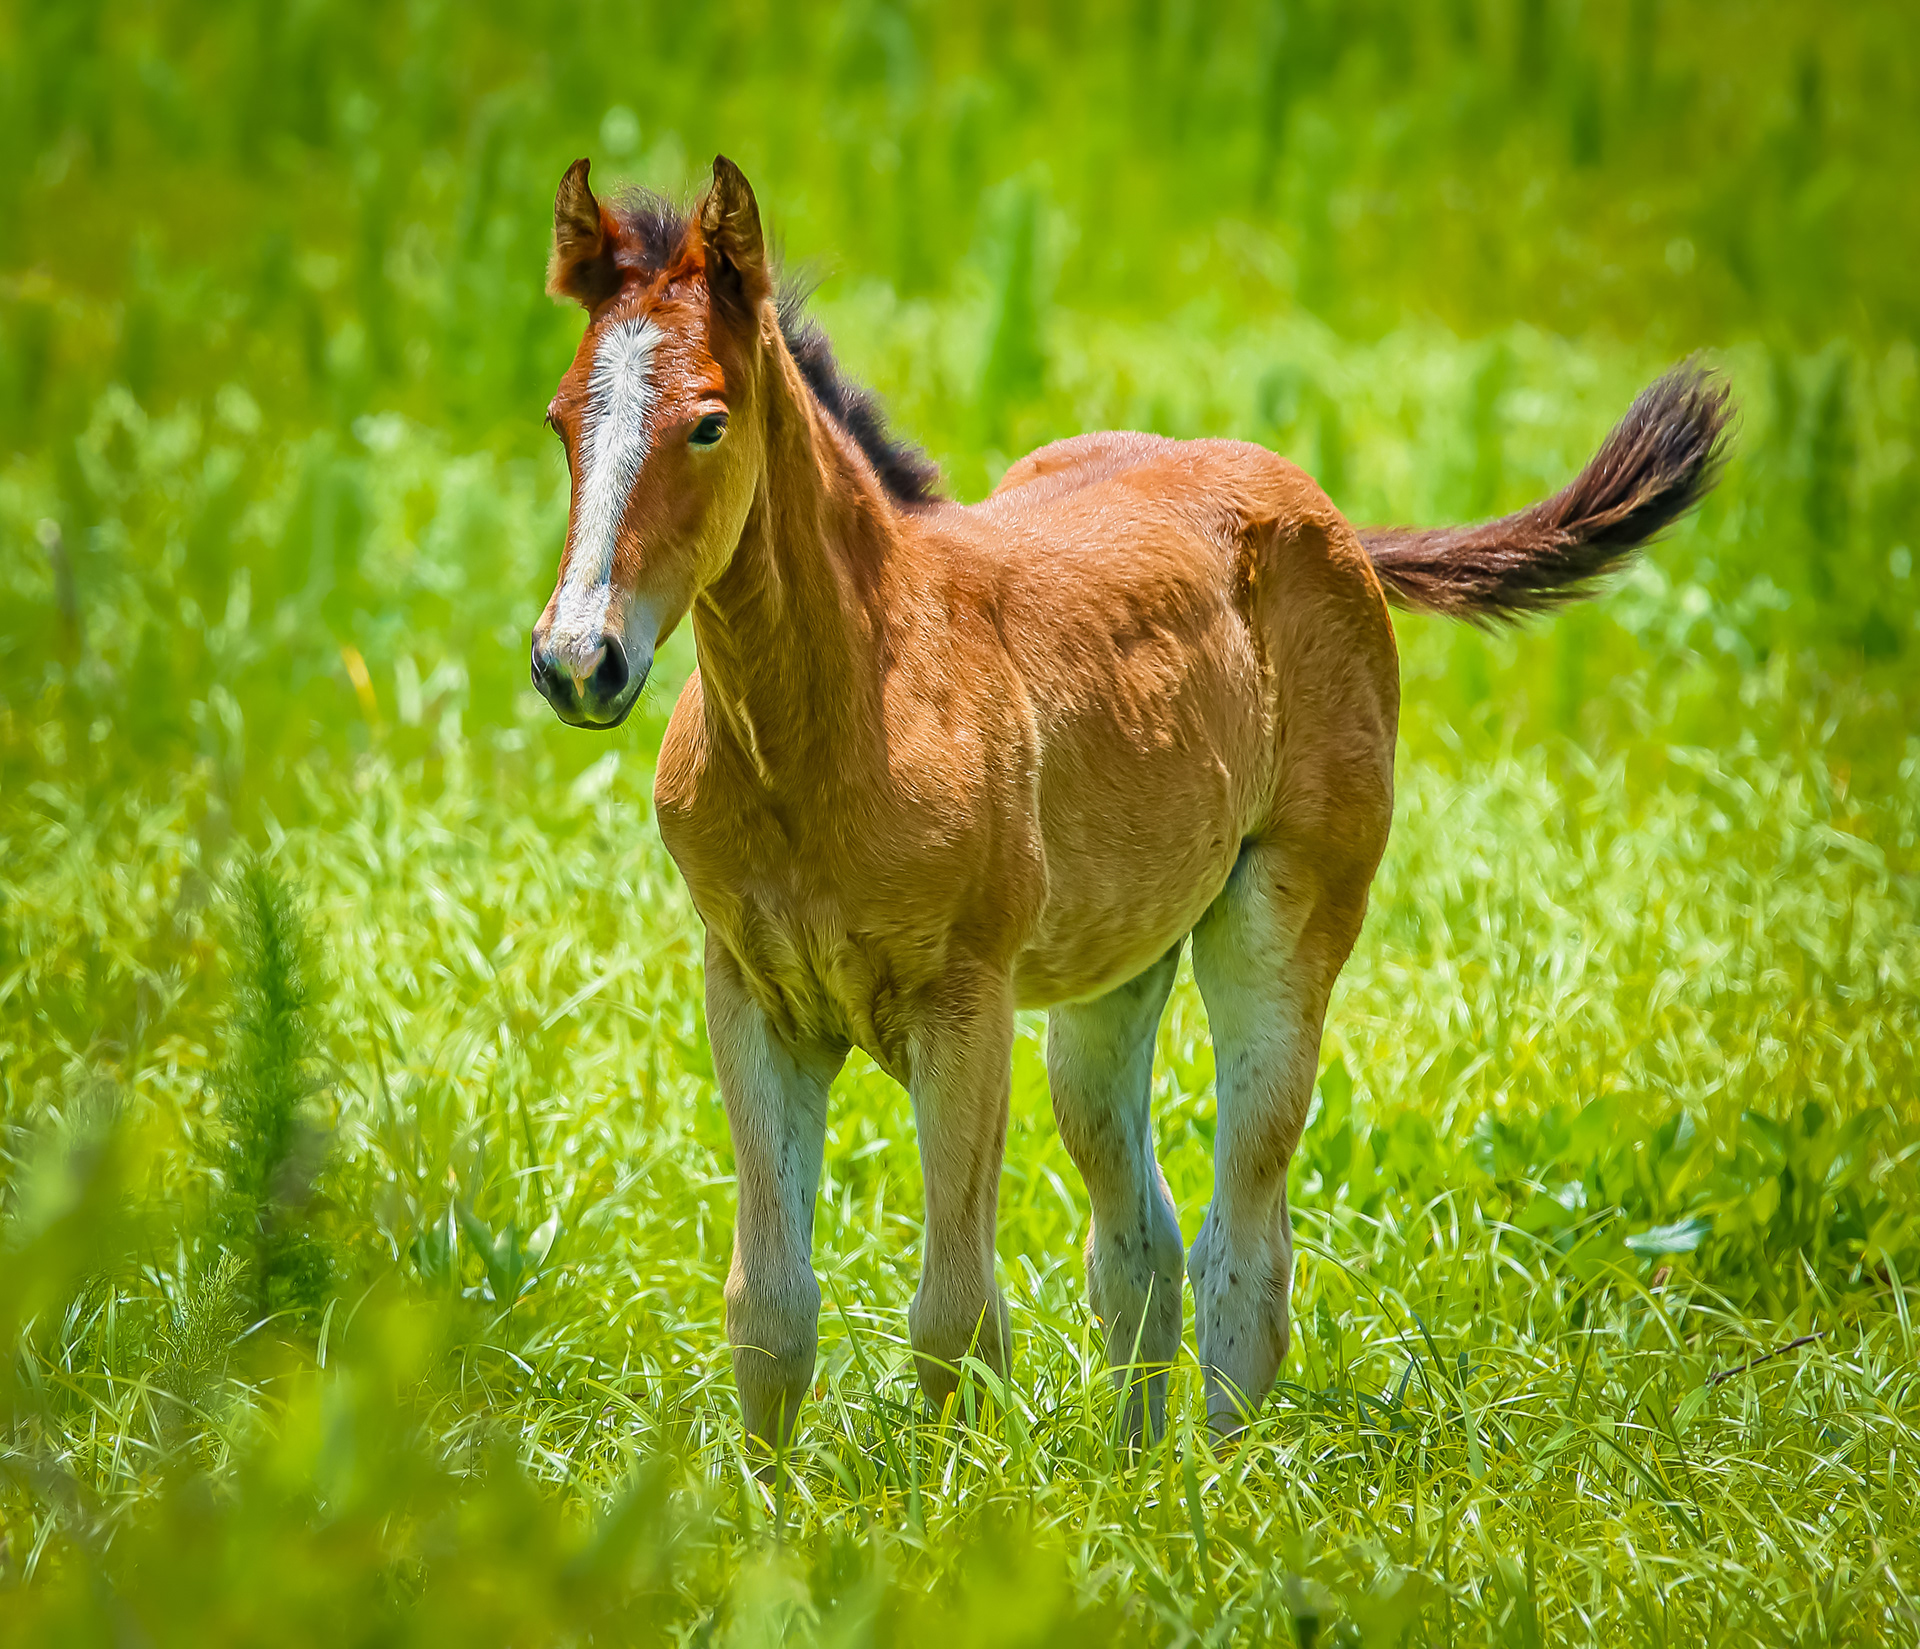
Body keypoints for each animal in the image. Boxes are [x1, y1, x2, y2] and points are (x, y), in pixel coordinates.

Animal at [529, 154, 1731, 1446]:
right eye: (559, 418)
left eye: (707, 422)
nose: (579, 660)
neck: (833, 723)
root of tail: (1324, 512)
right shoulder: (752, 992)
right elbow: (769, 1308)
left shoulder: (965, 1002)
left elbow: (956, 1314)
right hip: (1111, 974)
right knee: (1137, 1236)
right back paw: (1138, 1472)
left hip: (1282, 922)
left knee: (1243, 1239)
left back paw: (1221, 1473)